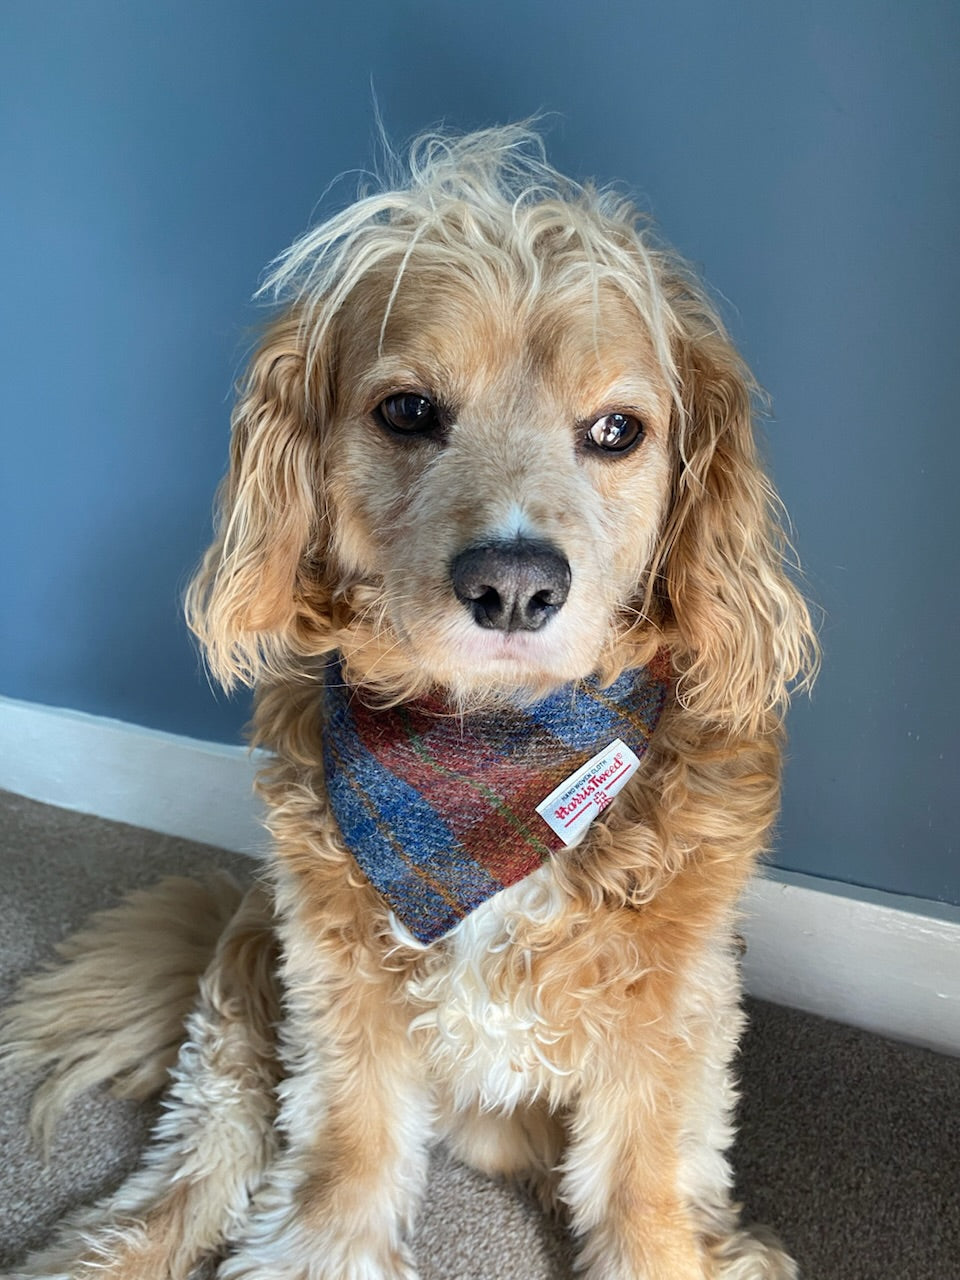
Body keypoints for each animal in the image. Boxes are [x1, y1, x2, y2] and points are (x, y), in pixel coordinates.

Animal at [3, 127, 824, 1280]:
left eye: (618, 430)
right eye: (406, 411)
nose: (515, 584)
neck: (493, 752)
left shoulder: (672, 1005)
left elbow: (643, 1176)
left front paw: (676, 1248)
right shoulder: (334, 981)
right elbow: (345, 1153)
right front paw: (322, 1249)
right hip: (247, 981)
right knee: (195, 1164)